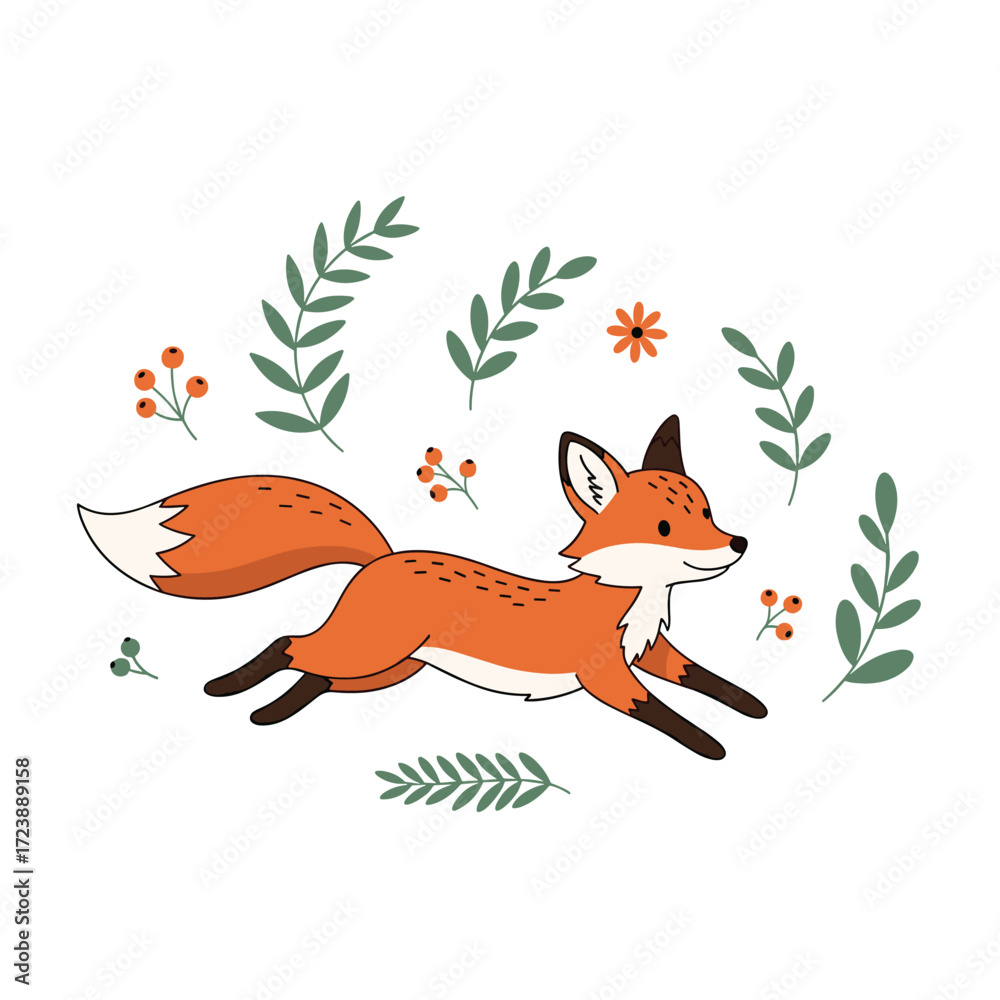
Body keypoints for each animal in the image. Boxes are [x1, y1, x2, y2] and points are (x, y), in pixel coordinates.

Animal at [79, 415, 765, 759]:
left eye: (706, 512)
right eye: (664, 527)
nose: (738, 544)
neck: (630, 600)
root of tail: (384, 557)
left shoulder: (652, 653)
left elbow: (707, 680)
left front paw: (751, 707)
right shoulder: (605, 672)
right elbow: (665, 713)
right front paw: (711, 747)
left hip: (388, 668)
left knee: (314, 671)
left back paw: (269, 713)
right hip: (370, 653)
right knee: (288, 644)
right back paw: (231, 689)